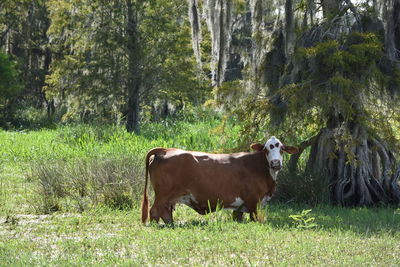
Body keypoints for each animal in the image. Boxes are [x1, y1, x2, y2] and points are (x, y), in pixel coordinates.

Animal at [141, 136, 296, 224]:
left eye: (282, 149)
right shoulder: (254, 203)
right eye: (266, 149)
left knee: (166, 214)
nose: (275, 162)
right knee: (154, 212)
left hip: (168, 199)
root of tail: (165, 150)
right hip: (162, 195)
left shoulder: (239, 208)